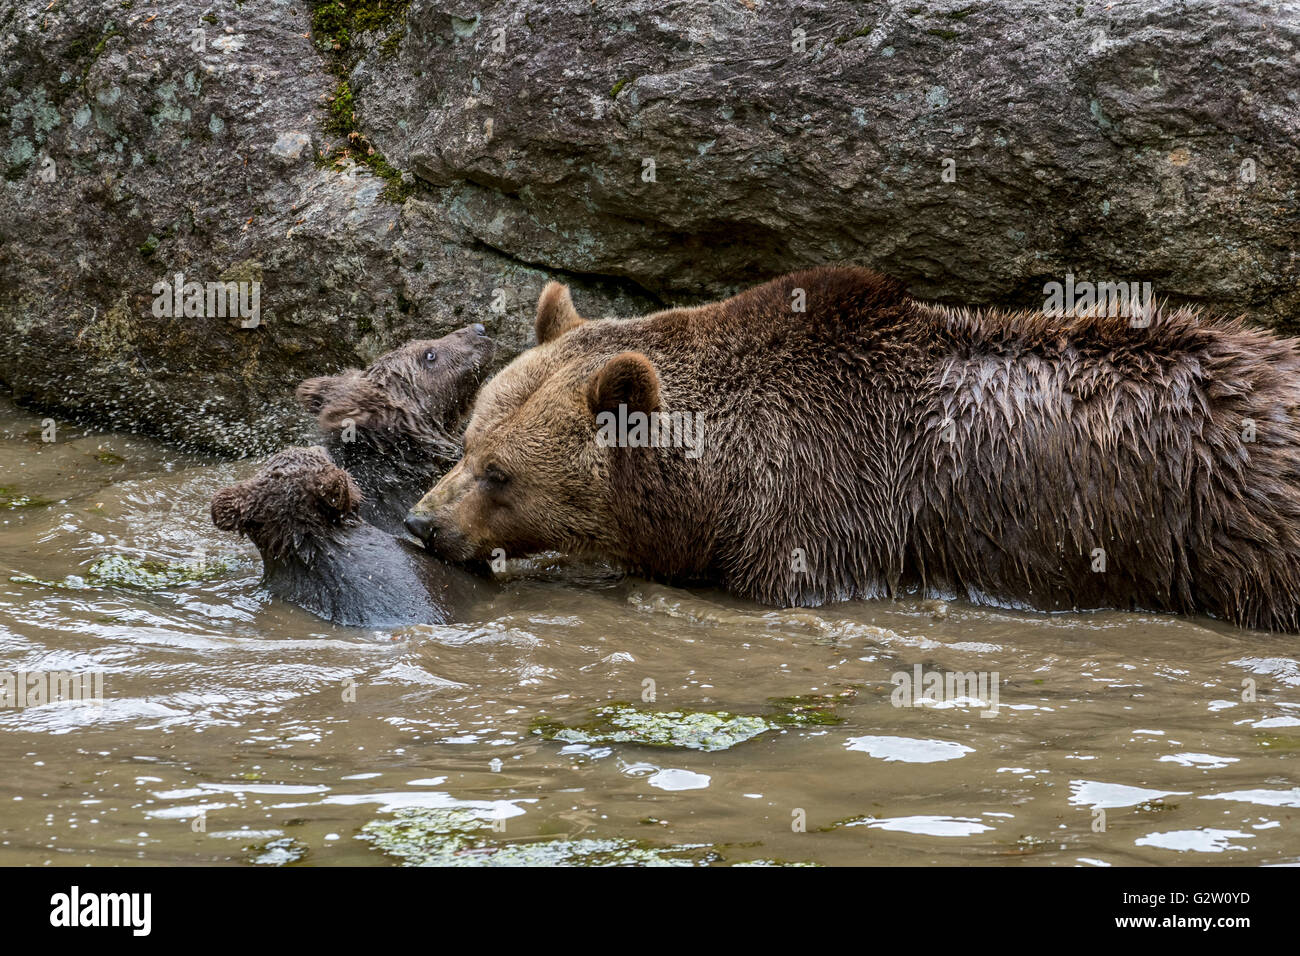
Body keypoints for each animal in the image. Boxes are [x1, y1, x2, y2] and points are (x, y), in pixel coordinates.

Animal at [405, 265, 1300, 632]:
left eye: (499, 473)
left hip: (1239, 525)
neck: (717, 483)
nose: (421, 523)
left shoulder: (826, 505)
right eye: (466, 439)